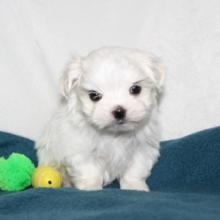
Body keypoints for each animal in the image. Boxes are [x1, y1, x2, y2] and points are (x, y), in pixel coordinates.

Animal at [35, 47, 164, 192]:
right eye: (94, 96)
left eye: (136, 89)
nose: (119, 111)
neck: (115, 134)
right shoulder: (81, 150)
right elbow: (90, 170)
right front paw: (91, 187)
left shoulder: (142, 148)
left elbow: (135, 169)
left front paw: (134, 186)